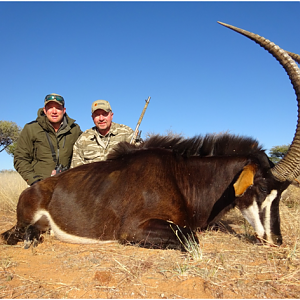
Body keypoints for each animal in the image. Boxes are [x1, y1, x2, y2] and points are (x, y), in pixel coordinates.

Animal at [2, 22, 300, 250]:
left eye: (282, 192)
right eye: (261, 187)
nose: (276, 240)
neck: (182, 176)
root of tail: (37, 187)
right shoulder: (135, 229)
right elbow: (192, 238)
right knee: (12, 234)